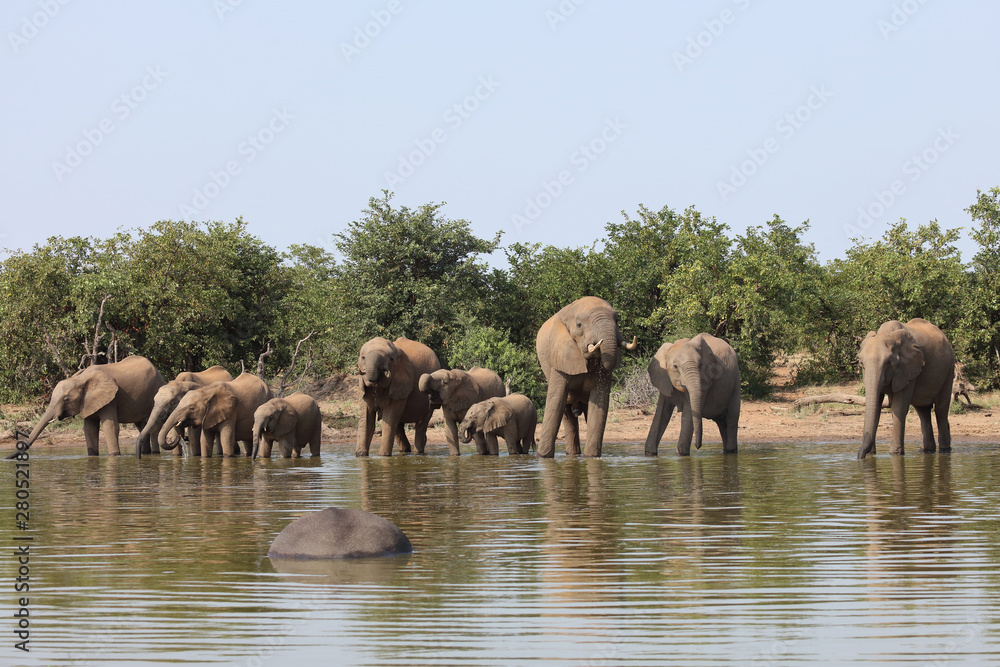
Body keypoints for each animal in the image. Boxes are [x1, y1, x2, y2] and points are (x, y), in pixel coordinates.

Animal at [12, 356, 166, 457]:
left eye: (66, 399)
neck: (80, 379)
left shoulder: (111, 398)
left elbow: (110, 426)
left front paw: (115, 456)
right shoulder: (87, 402)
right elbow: (89, 429)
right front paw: (92, 456)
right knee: (141, 425)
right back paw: (145, 453)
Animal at [536, 296, 637, 457]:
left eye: (617, 321)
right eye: (579, 325)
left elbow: (599, 403)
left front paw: (592, 457)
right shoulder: (559, 356)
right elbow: (556, 401)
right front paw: (543, 457)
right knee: (567, 414)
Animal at [858, 318, 955, 459]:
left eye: (889, 363)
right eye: (861, 363)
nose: (860, 456)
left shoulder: (908, 369)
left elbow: (898, 408)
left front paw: (895, 454)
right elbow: (877, 406)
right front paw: (871, 455)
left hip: (949, 370)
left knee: (941, 410)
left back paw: (944, 451)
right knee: (923, 411)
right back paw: (926, 451)